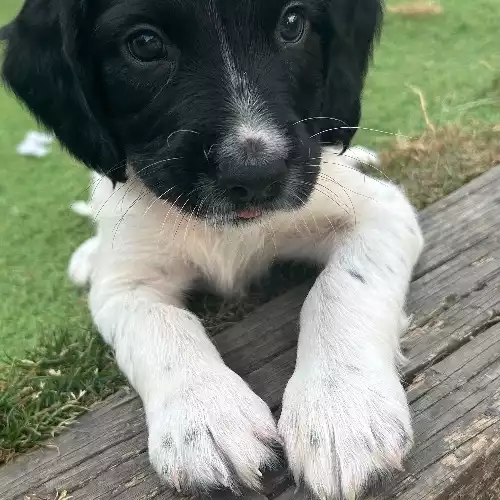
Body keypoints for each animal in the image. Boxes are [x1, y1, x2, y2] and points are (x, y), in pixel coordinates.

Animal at [1, 1, 424, 498]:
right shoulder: (124, 283)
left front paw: (343, 409)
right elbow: (161, 325)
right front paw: (205, 418)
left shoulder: (381, 211)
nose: (256, 175)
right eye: (144, 44)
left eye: (293, 23)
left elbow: (341, 289)